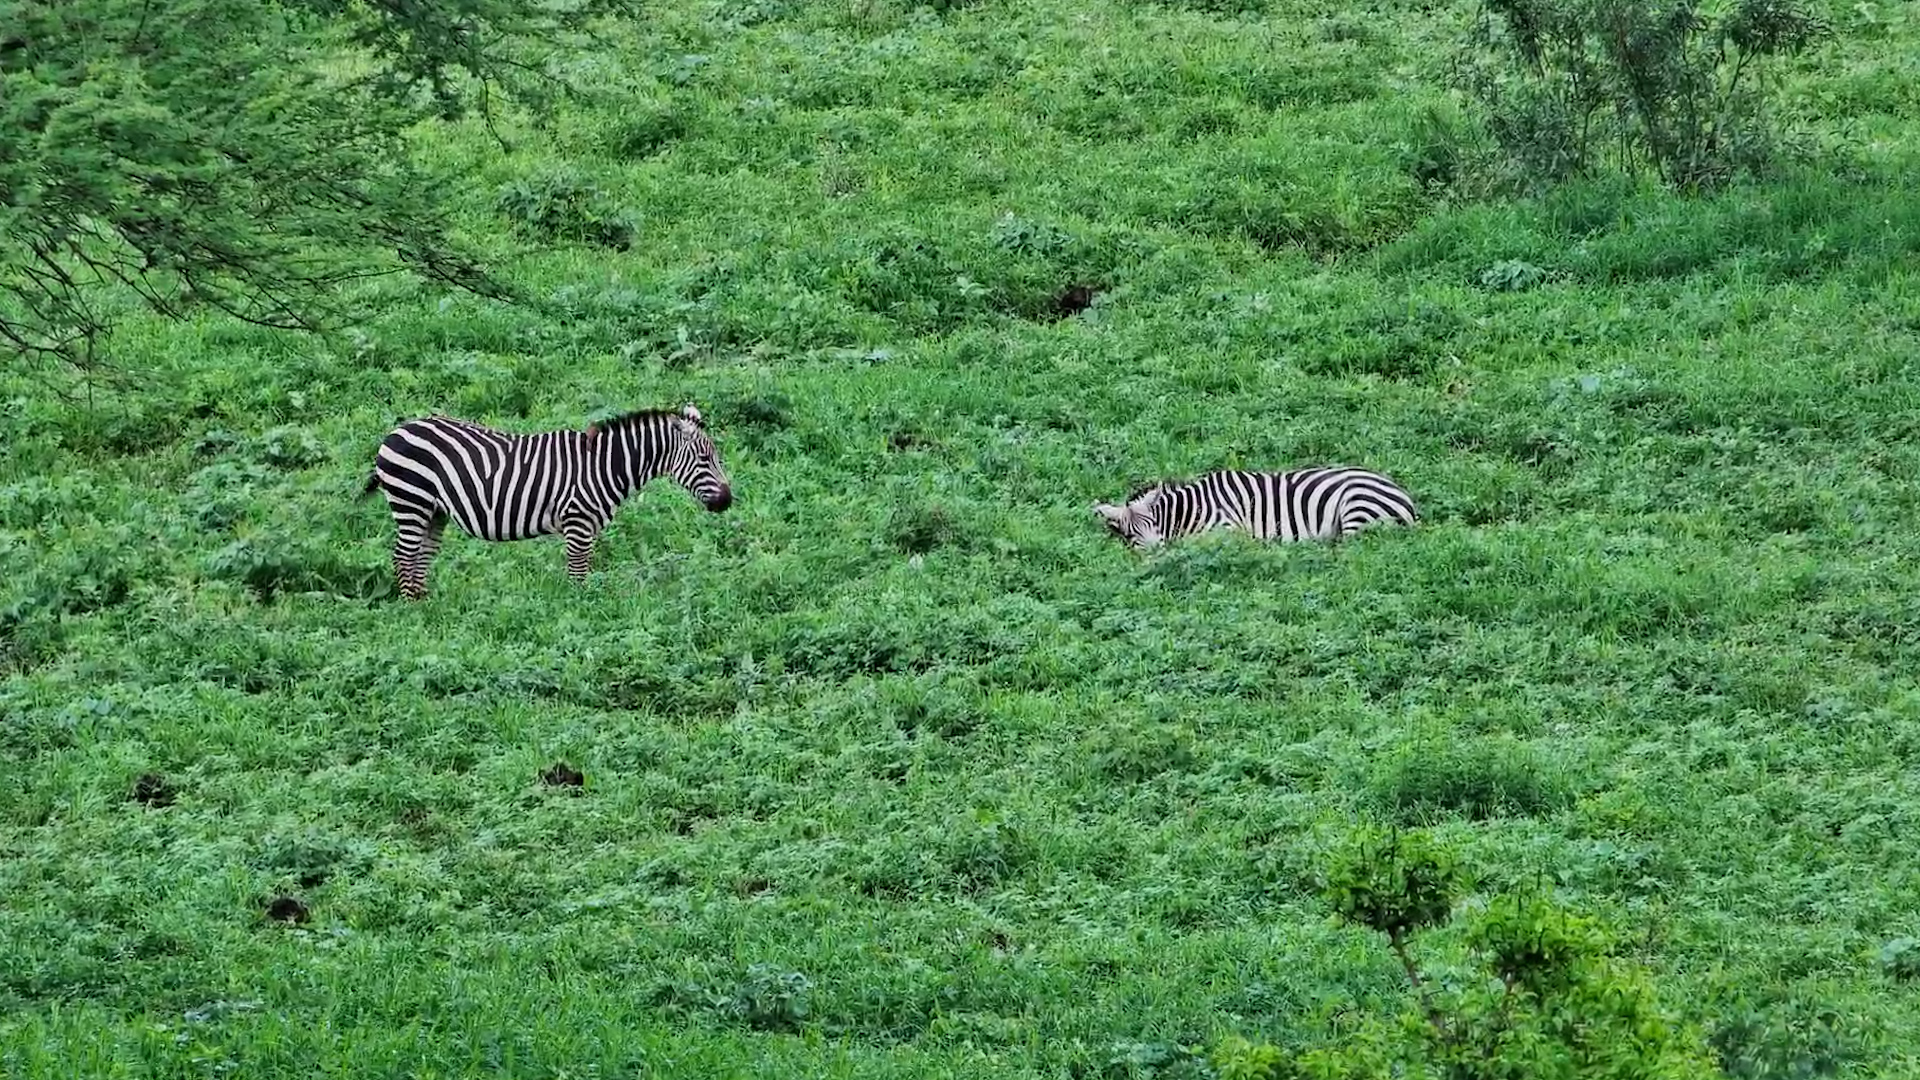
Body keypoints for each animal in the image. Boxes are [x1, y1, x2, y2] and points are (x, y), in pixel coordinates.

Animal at [361, 403, 732, 599]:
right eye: (704, 459)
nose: (727, 502)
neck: (605, 465)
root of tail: (394, 432)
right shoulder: (578, 522)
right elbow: (578, 573)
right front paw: (581, 612)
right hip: (411, 501)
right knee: (403, 555)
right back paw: (412, 607)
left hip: (434, 510)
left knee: (421, 555)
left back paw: (425, 602)